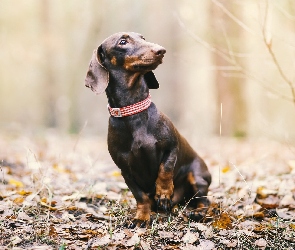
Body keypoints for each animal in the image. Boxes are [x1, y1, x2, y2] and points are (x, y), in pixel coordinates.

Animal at [84, 32, 212, 228]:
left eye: (142, 38)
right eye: (123, 41)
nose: (161, 50)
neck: (133, 111)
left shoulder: (172, 147)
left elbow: (165, 171)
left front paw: (164, 193)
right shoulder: (125, 170)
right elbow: (141, 197)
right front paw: (141, 217)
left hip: (197, 177)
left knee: (204, 201)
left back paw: (195, 212)